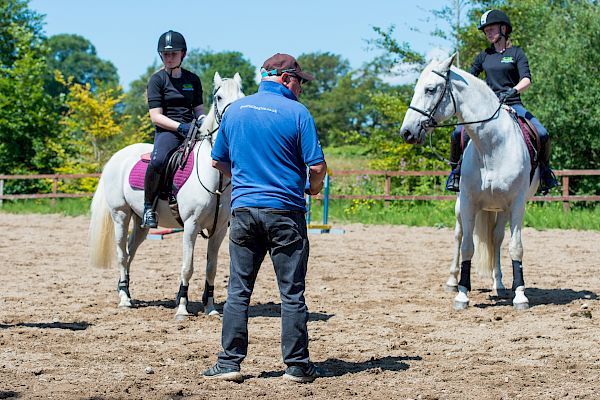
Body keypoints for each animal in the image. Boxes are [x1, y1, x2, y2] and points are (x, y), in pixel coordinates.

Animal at [89, 72, 244, 318]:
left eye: (242, 96)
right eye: (219, 97)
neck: (214, 175)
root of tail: (117, 157)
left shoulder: (219, 229)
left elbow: (211, 268)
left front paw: (210, 307)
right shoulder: (190, 225)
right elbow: (188, 267)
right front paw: (181, 306)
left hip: (141, 222)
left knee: (130, 251)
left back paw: (124, 290)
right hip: (120, 215)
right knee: (122, 253)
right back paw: (124, 299)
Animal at [400, 54, 536, 310]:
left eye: (430, 89)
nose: (407, 132)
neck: (492, 146)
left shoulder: (517, 204)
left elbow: (515, 247)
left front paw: (520, 294)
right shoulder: (468, 202)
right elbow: (466, 247)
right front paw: (462, 293)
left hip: (501, 209)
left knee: (496, 239)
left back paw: (498, 283)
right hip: (460, 206)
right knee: (459, 235)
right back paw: (452, 281)